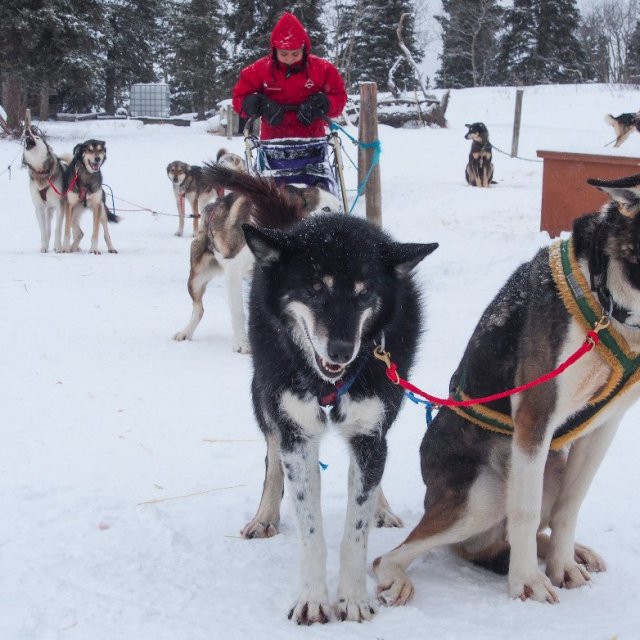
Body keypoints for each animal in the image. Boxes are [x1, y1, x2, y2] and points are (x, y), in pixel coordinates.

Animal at [21, 122, 69, 252]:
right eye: (27, 133)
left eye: (37, 137)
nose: (27, 131)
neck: (42, 172)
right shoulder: (39, 208)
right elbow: (43, 231)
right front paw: (43, 247)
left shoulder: (60, 206)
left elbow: (58, 229)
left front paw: (58, 247)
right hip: (48, 210)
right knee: (48, 229)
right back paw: (47, 244)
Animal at [170, 159, 340, 350]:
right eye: (326, 209)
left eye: (339, 206)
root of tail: (212, 207)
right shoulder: (233, 272)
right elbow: (238, 311)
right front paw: (242, 343)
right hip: (197, 278)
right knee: (198, 309)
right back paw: (186, 331)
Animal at [372, 174, 640, 608]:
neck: (609, 298)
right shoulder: (536, 413)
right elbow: (525, 513)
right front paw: (528, 582)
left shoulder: (605, 425)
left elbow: (569, 506)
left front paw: (563, 565)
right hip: (485, 494)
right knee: (391, 557)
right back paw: (397, 576)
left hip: (552, 468)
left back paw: (572, 552)